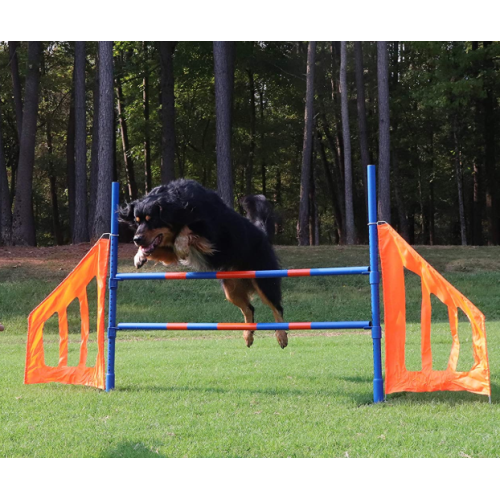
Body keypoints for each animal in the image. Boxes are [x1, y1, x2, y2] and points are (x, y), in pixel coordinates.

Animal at [118, 179, 288, 348]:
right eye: (137, 221)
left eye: (151, 219)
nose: (136, 239)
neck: (179, 202)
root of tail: (263, 236)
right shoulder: (169, 250)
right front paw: (140, 256)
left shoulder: (210, 233)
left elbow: (187, 228)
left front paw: (181, 246)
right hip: (231, 288)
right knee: (249, 308)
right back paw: (248, 335)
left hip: (264, 279)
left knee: (277, 307)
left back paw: (281, 336)